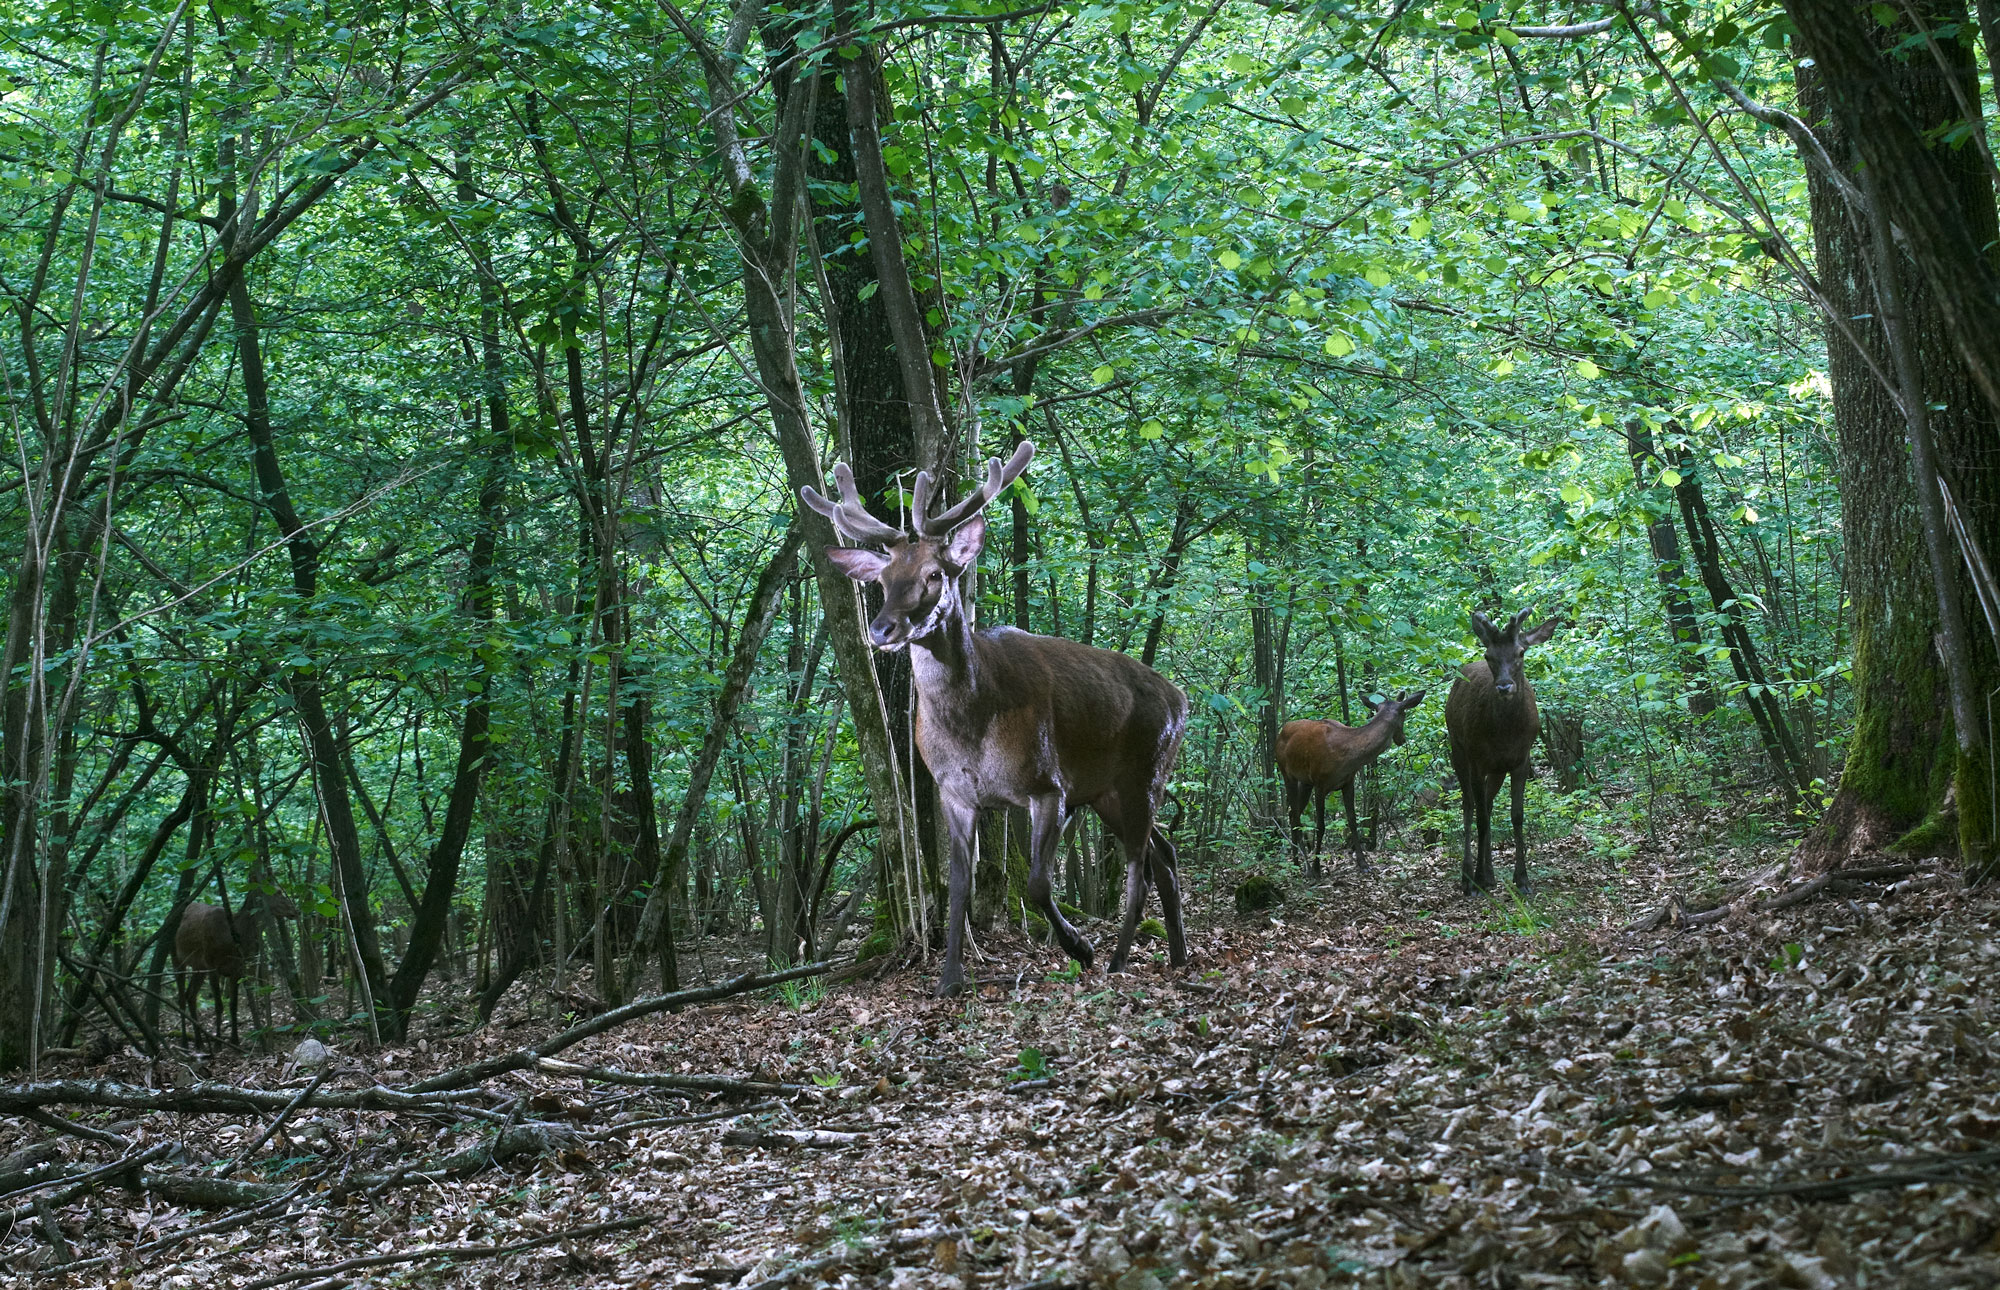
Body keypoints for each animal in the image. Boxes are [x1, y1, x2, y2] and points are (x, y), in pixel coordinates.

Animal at [173, 885, 300, 1047]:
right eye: (277, 892)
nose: (296, 911)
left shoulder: (237, 969)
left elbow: (233, 1005)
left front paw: (235, 1040)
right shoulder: (212, 965)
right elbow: (219, 1005)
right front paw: (218, 1042)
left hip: (198, 967)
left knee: (190, 995)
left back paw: (199, 1041)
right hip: (177, 957)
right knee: (181, 998)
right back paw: (184, 1040)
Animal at [801, 441, 1189, 996]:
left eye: (935, 574)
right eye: (881, 579)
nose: (881, 629)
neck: (972, 728)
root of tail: (1183, 698)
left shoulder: (1049, 785)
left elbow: (1037, 883)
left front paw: (1079, 946)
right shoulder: (955, 793)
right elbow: (958, 888)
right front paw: (949, 980)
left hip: (1147, 771)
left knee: (1140, 866)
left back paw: (1117, 959)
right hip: (1109, 792)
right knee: (1166, 853)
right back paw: (1178, 956)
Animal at [1275, 689, 1427, 880]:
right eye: (1404, 714)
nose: (1402, 739)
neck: (1347, 755)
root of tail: (1281, 732)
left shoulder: (1348, 781)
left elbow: (1353, 821)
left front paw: (1363, 864)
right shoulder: (1320, 782)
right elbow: (1320, 826)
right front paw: (1317, 868)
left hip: (1305, 782)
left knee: (1292, 814)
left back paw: (1297, 863)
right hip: (1287, 772)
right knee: (1295, 815)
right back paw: (1304, 866)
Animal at [1445, 607, 1560, 896]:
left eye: (1520, 652)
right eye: (1489, 655)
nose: (1505, 686)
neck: (1506, 735)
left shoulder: (1521, 760)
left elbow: (1516, 816)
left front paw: (1523, 879)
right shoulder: (1477, 759)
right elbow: (1482, 819)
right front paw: (1475, 880)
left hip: (1496, 769)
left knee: (1487, 802)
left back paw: (1491, 875)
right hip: (1457, 748)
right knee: (1470, 805)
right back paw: (1469, 876)